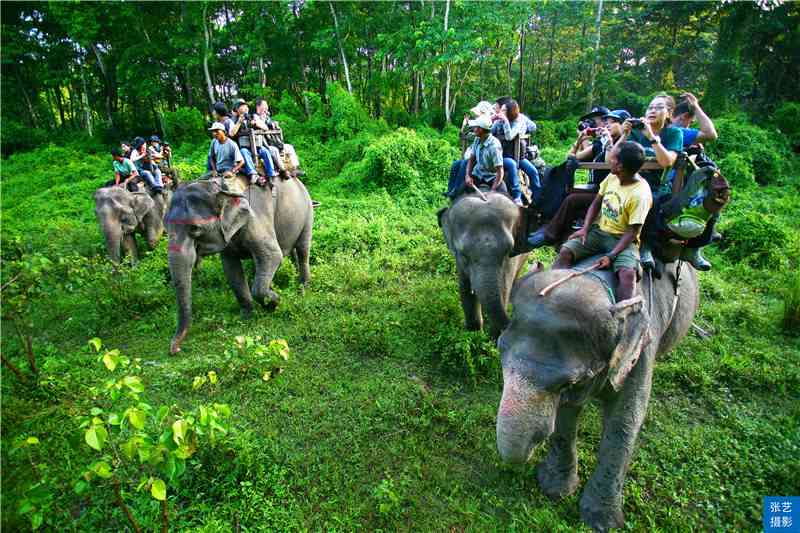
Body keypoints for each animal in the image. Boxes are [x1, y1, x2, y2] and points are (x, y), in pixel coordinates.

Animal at [166, 175, 312, 356]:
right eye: (165, 228)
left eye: (195, 228)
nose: (175, 350)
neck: (218, 188)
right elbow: (231, 269)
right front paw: (247, 317)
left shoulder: (253, 218)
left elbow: (272, 255)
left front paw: (274, 303)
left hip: (307, 209)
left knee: (303, 249)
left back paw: (302, 289)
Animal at [438, 192, 532, 336]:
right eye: (463, 254)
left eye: (508, 251)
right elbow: (465, 288)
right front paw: (474, 333)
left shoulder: (512, 259)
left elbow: (504, 288)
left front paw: (493, 338)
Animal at [496, 258, 696, 528]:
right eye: (500, 351)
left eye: (568, 383)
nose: (531, 447)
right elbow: (567, 413)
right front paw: (554, 488)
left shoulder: (640, 349)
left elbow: (625, 418)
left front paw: (601, 521)